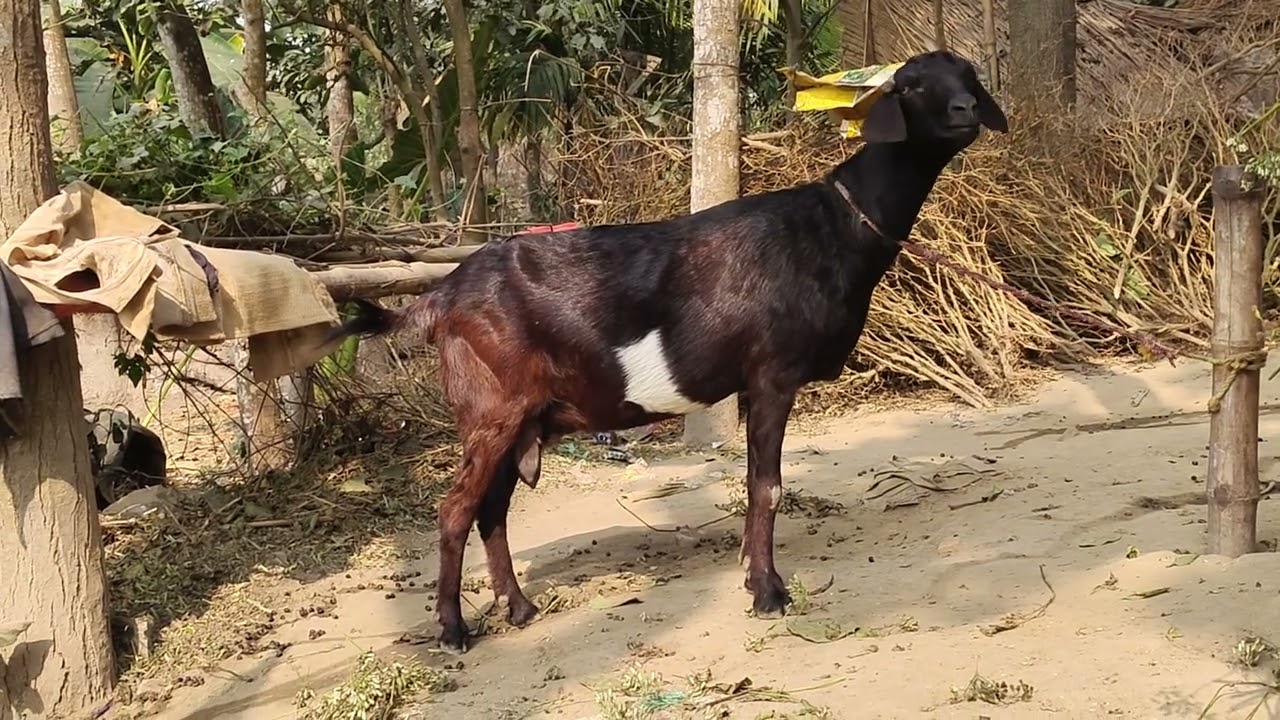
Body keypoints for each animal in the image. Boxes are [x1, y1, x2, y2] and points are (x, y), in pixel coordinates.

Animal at [323, 50, 1008, 654]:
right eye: (911, 86)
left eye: (968, 75)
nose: (966, 110)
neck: (830, 227)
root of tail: (440, 294)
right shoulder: (771, 373)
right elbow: (767, 486)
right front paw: (768, 591)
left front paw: (752, 574)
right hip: (492, 411)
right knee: (454, 509)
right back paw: (453, 630)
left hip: (524, 420)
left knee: (491, 510)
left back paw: (518, 608)